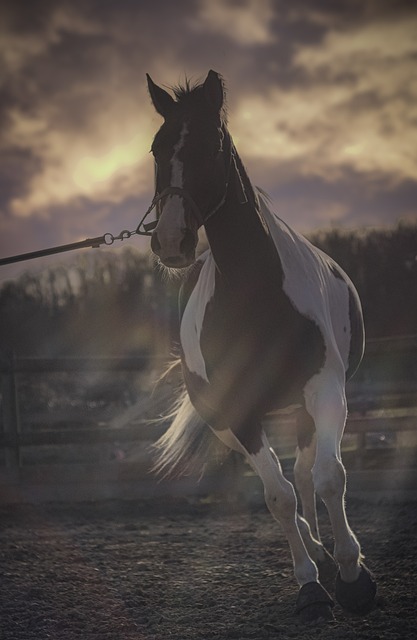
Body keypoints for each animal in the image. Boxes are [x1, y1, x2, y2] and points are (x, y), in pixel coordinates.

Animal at [146, 70, 377, 622]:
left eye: (211, 148)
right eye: (156, 150)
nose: (171, 241)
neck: (256, 294)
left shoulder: (325, 390)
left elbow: (330, 477)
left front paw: (354, 577)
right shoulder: (241, 411)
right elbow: (277, 497)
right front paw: (311, 586)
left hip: (305, 407)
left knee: (308, 473)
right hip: (226, 423)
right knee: (289, 482)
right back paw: (317, 555)